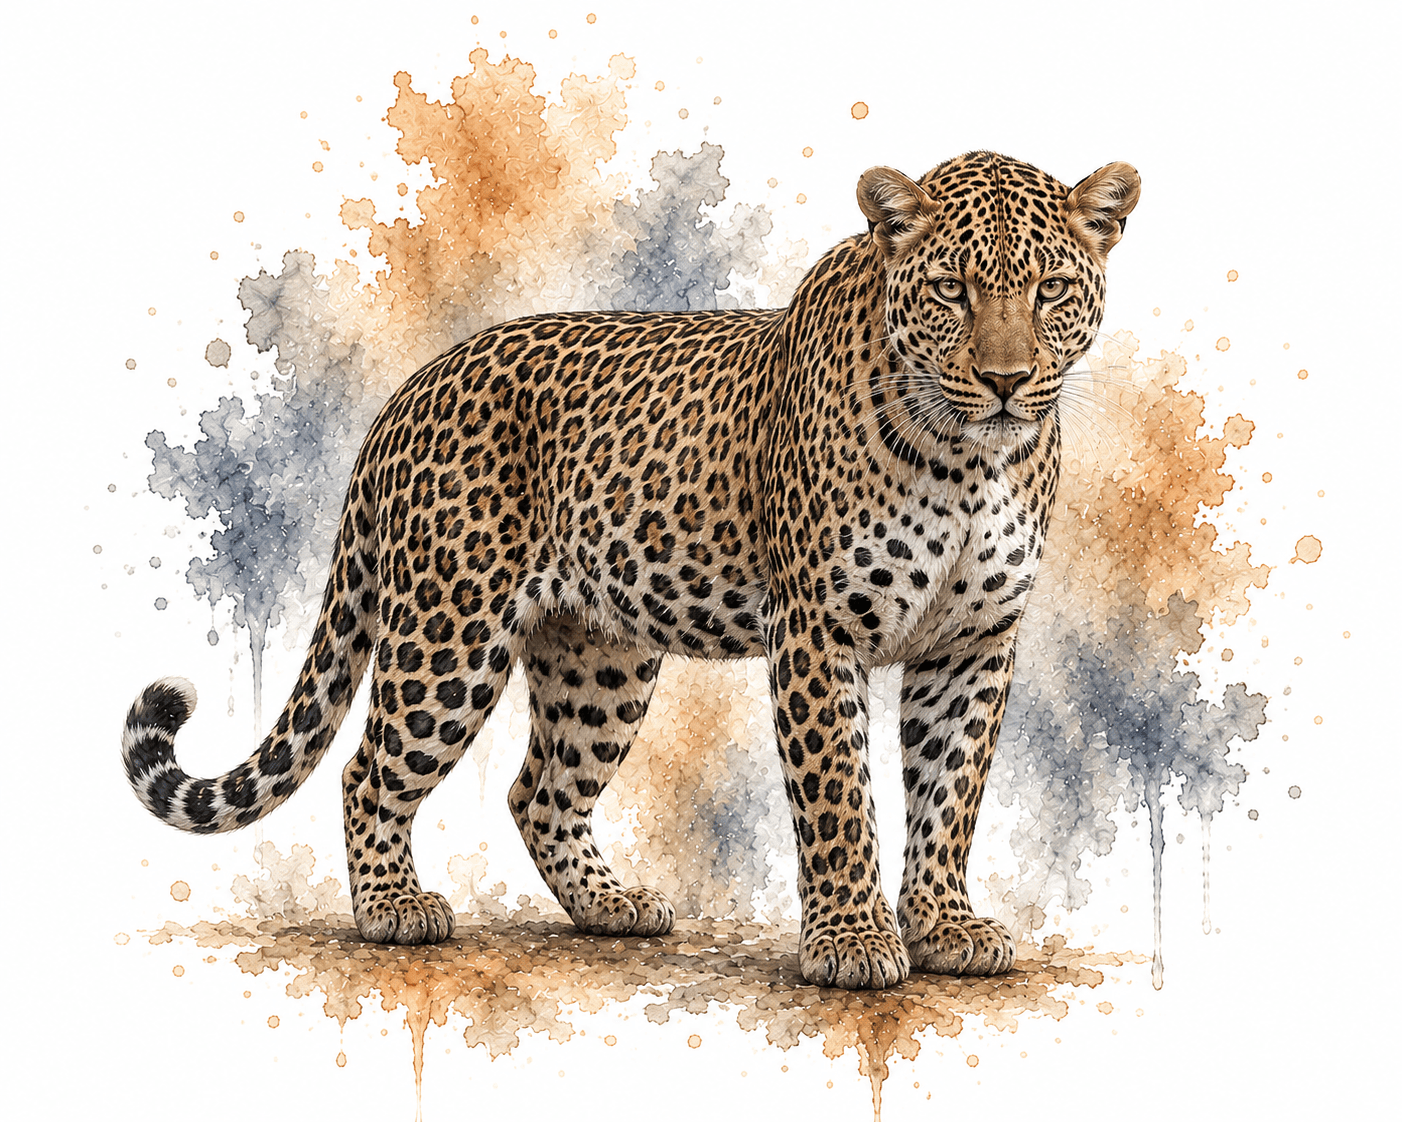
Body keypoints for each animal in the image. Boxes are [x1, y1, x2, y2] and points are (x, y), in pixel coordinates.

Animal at [122, 150, 1139, 990]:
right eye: (950, 290)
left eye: (1050, 289)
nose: (1007, 381)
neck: (971, 463)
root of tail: (406, 394)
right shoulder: (817, 630)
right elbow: (839, 794)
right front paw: (852, 944)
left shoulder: (974, 642)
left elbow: (951, 791)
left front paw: (944, 926)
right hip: (449, 633)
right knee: (370, 770)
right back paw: (393, 910)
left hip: (599, 657)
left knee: (539, 792)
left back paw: (611, 907)